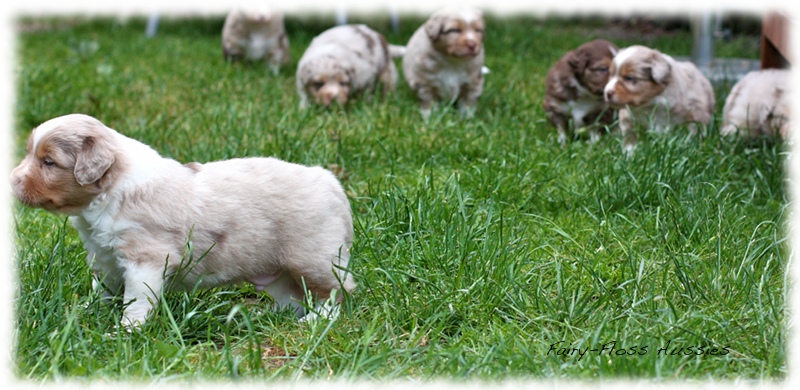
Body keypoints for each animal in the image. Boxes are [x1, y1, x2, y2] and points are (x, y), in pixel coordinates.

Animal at [10, 113, 354, 330]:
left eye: (48, 162)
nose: (12, 181)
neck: (108, 193)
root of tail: (330, 182)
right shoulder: (104, 257)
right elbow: (102, 289)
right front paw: (84, 313)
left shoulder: (145, 259)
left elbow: (136, 300)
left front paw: (126, 331)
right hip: (278, 269)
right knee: (294, 297)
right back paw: (268, 317)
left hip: (314, 258)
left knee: (335, 292)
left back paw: (315, 321)